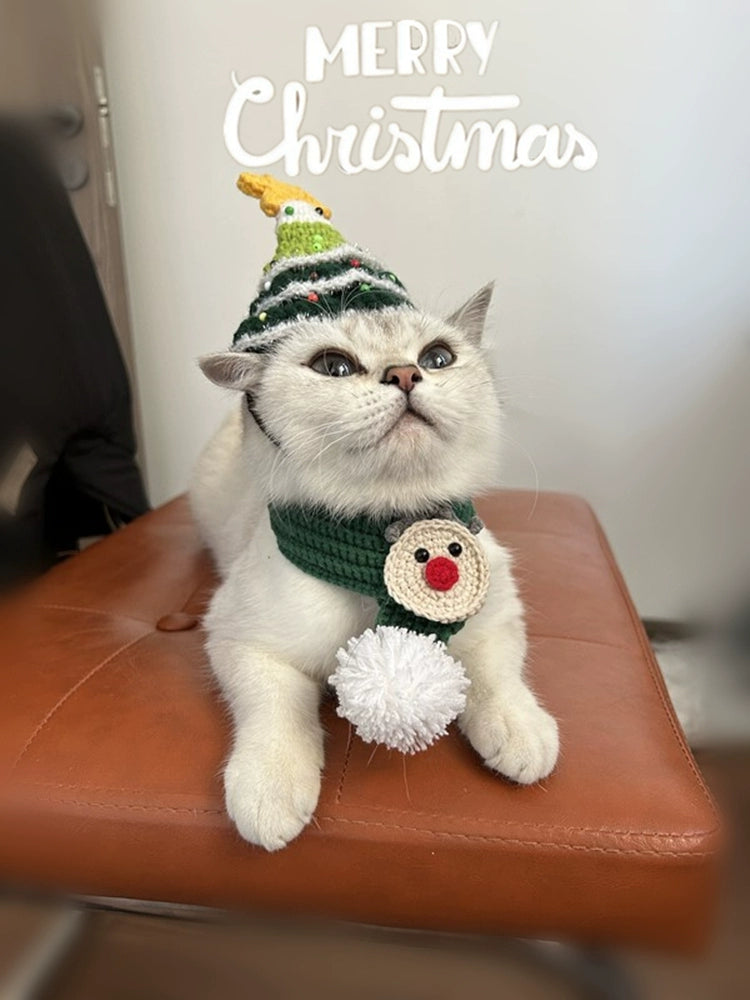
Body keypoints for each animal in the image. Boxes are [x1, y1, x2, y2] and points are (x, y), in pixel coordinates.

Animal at [191, 286, 560, 848]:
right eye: (334, 366)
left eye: (438, 358)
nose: (405, 374)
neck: (376, 542)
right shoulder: (241, 639)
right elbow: (274, 706)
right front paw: (269, 787)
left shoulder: (495, 617)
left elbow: (496, 673)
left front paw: (520, 729)